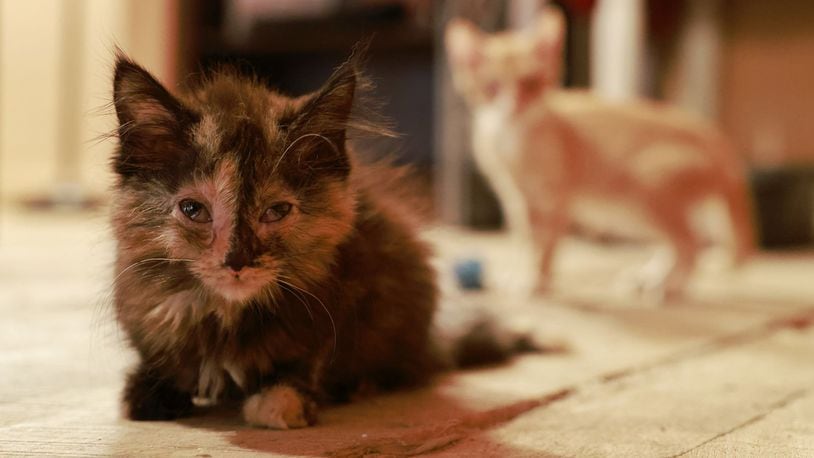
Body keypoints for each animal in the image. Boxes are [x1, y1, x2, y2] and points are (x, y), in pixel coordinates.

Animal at [109, 51, 450, 430]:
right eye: (193, 209)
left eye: (277, 211)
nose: (236, 261)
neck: (227, 316)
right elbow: (148, 382)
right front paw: (150, 391)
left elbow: (299, 371)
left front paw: (279, 401)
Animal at [450, 8, 756, 300]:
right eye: (492, 87)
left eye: (532, 82)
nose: (515, 105)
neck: (512, 137)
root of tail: (713, 136)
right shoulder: (518, 199)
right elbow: (527, 241)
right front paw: (529, 273)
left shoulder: (557, 198)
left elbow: (546, 245)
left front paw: (538, 282)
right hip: (639, 212)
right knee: (687, 240)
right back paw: (651, 278)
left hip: (646, 193)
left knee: (690, 242)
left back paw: (670, 286)